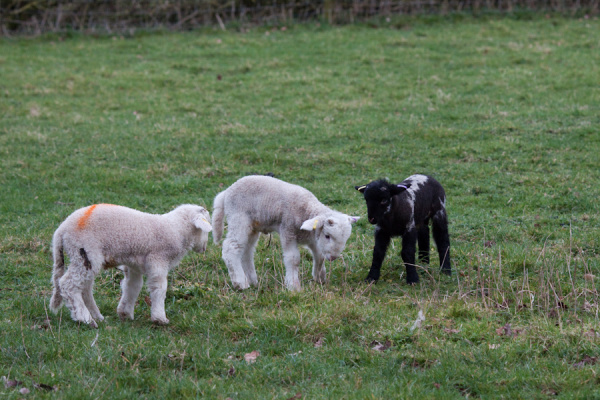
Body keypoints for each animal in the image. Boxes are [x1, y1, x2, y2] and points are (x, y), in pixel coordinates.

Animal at [49, 205, 213, 326]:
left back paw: (97, 316)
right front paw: (160, 318)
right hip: (84, 252)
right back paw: (85, 319)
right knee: (68, 285)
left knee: (84, 288)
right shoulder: (158, 260)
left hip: (85, 259)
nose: (205, 248)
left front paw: (125, 313)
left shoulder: (134, 264)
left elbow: (132, 286)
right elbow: (159, 288)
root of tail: (61, 230)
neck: (176, 230)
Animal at [213, 175, 358, 290]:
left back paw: (252, 281)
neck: (307, 210)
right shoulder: (288, 231)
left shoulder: (313, 238)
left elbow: (320, 256)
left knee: (246, 252)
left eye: (345, 240)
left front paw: (319, 277)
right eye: (327, 235)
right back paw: (240, 283)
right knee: (231, 247)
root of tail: (226, 192)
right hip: (238, 218)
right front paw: (294, 286)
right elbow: (293, 259)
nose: (333, 257)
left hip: (252, 227)